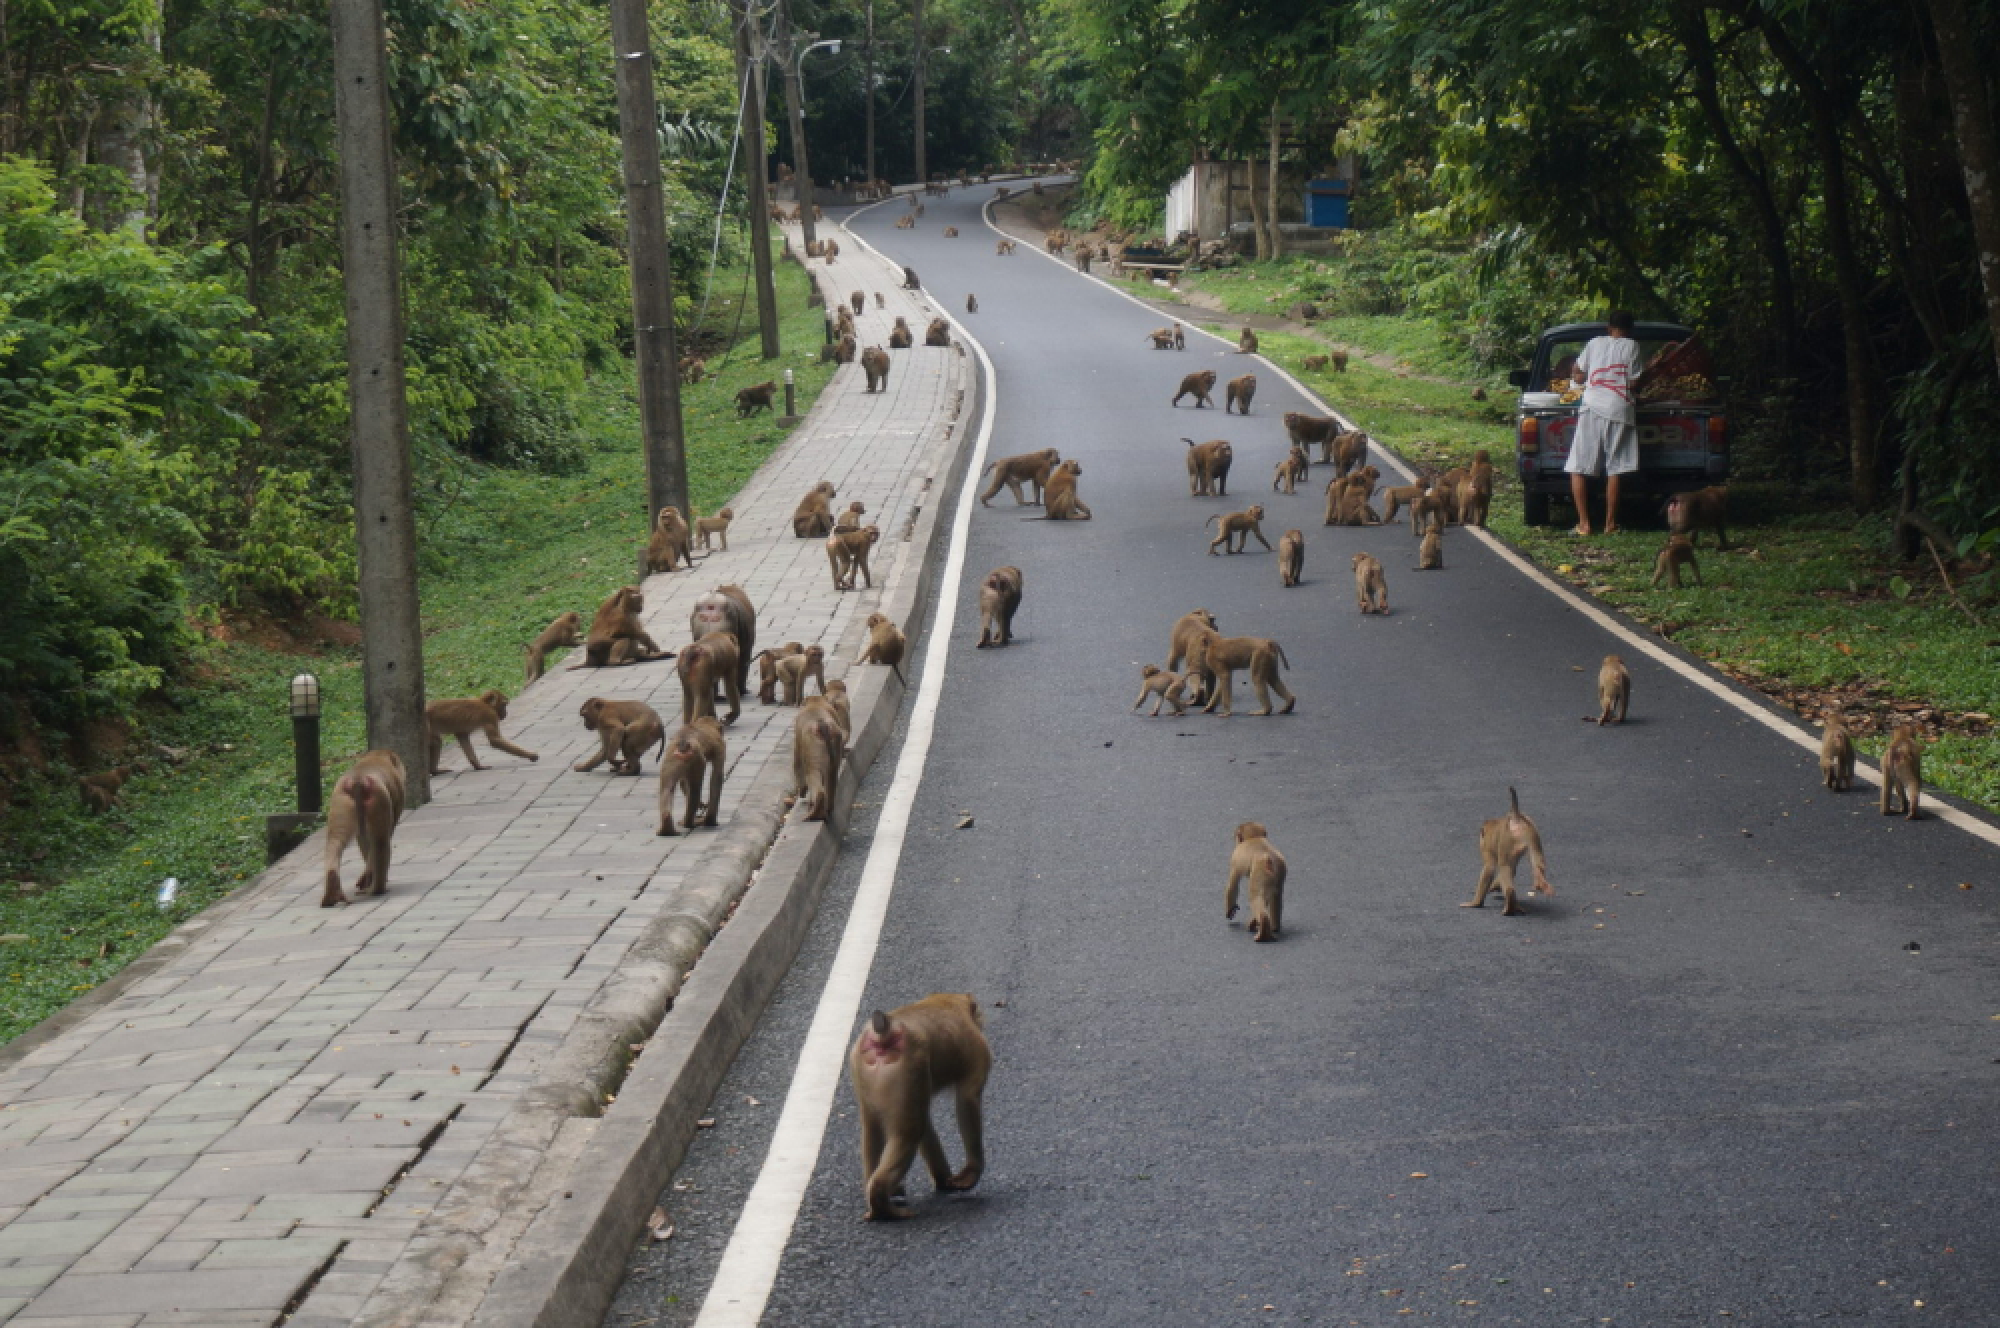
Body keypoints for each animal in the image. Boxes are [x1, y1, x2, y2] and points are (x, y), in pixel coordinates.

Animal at [321, 749, 406, 908]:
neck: (377, 757)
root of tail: (358, 781)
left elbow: (362, 839)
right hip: (378, 799)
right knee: (381, 842)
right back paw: (377, 889)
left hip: (340, 798)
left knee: (334, 842)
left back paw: (331, 892)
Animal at [848, 993, 990, 1221]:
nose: (981, 1020)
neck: (950, 1001)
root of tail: (885, 1031)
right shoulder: (977, 1048)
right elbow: (968, 1099)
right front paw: (971, 1172)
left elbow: (926, 1122)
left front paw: (943, 1179)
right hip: (908, 1065)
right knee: (909, 1131)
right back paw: (882, 1201)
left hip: (860, 1067)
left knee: (873, 1129)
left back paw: (881, 1197)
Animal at [1464, 787, 1555, 916]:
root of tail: (1515, 816)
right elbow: (1512, 868)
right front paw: (1495, 886)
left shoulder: (1487, 847)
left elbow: (1490, 867)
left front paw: (1476, 903)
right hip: (1532, 832)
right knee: (1537, 862)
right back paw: (1540, 881)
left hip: (1507, 838)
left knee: (1504, 867)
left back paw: (1510, 898)